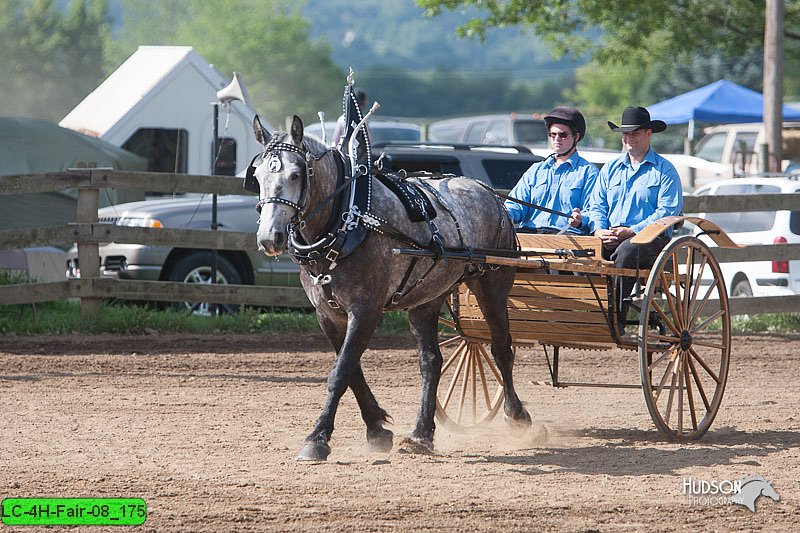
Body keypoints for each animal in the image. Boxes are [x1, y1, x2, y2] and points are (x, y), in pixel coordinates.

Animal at [248, 114, 532, 460]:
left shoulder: (366, 310)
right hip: (428, 298)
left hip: (492, 284)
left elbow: (341, 371)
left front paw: (317, 438)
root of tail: (488, 192)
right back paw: (422, 434)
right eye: (257, 175)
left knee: (501, 348)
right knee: (431, 362)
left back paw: (516, 415)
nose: (269, 238)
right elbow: (352, 370)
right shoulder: (328, 315)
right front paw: (377, 429)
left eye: (295, 174)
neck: (348, 219)